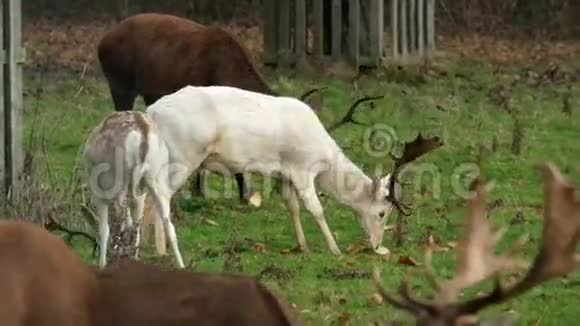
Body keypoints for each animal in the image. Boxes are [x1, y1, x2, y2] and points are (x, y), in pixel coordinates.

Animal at [82, 111, 184, 268]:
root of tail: (143, 135)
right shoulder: (141, 194)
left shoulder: (97, 192)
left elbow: (104, 230)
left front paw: (102, 264)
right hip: (157, 177)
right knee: (167, 225)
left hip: (119, 183)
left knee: (122, 227)